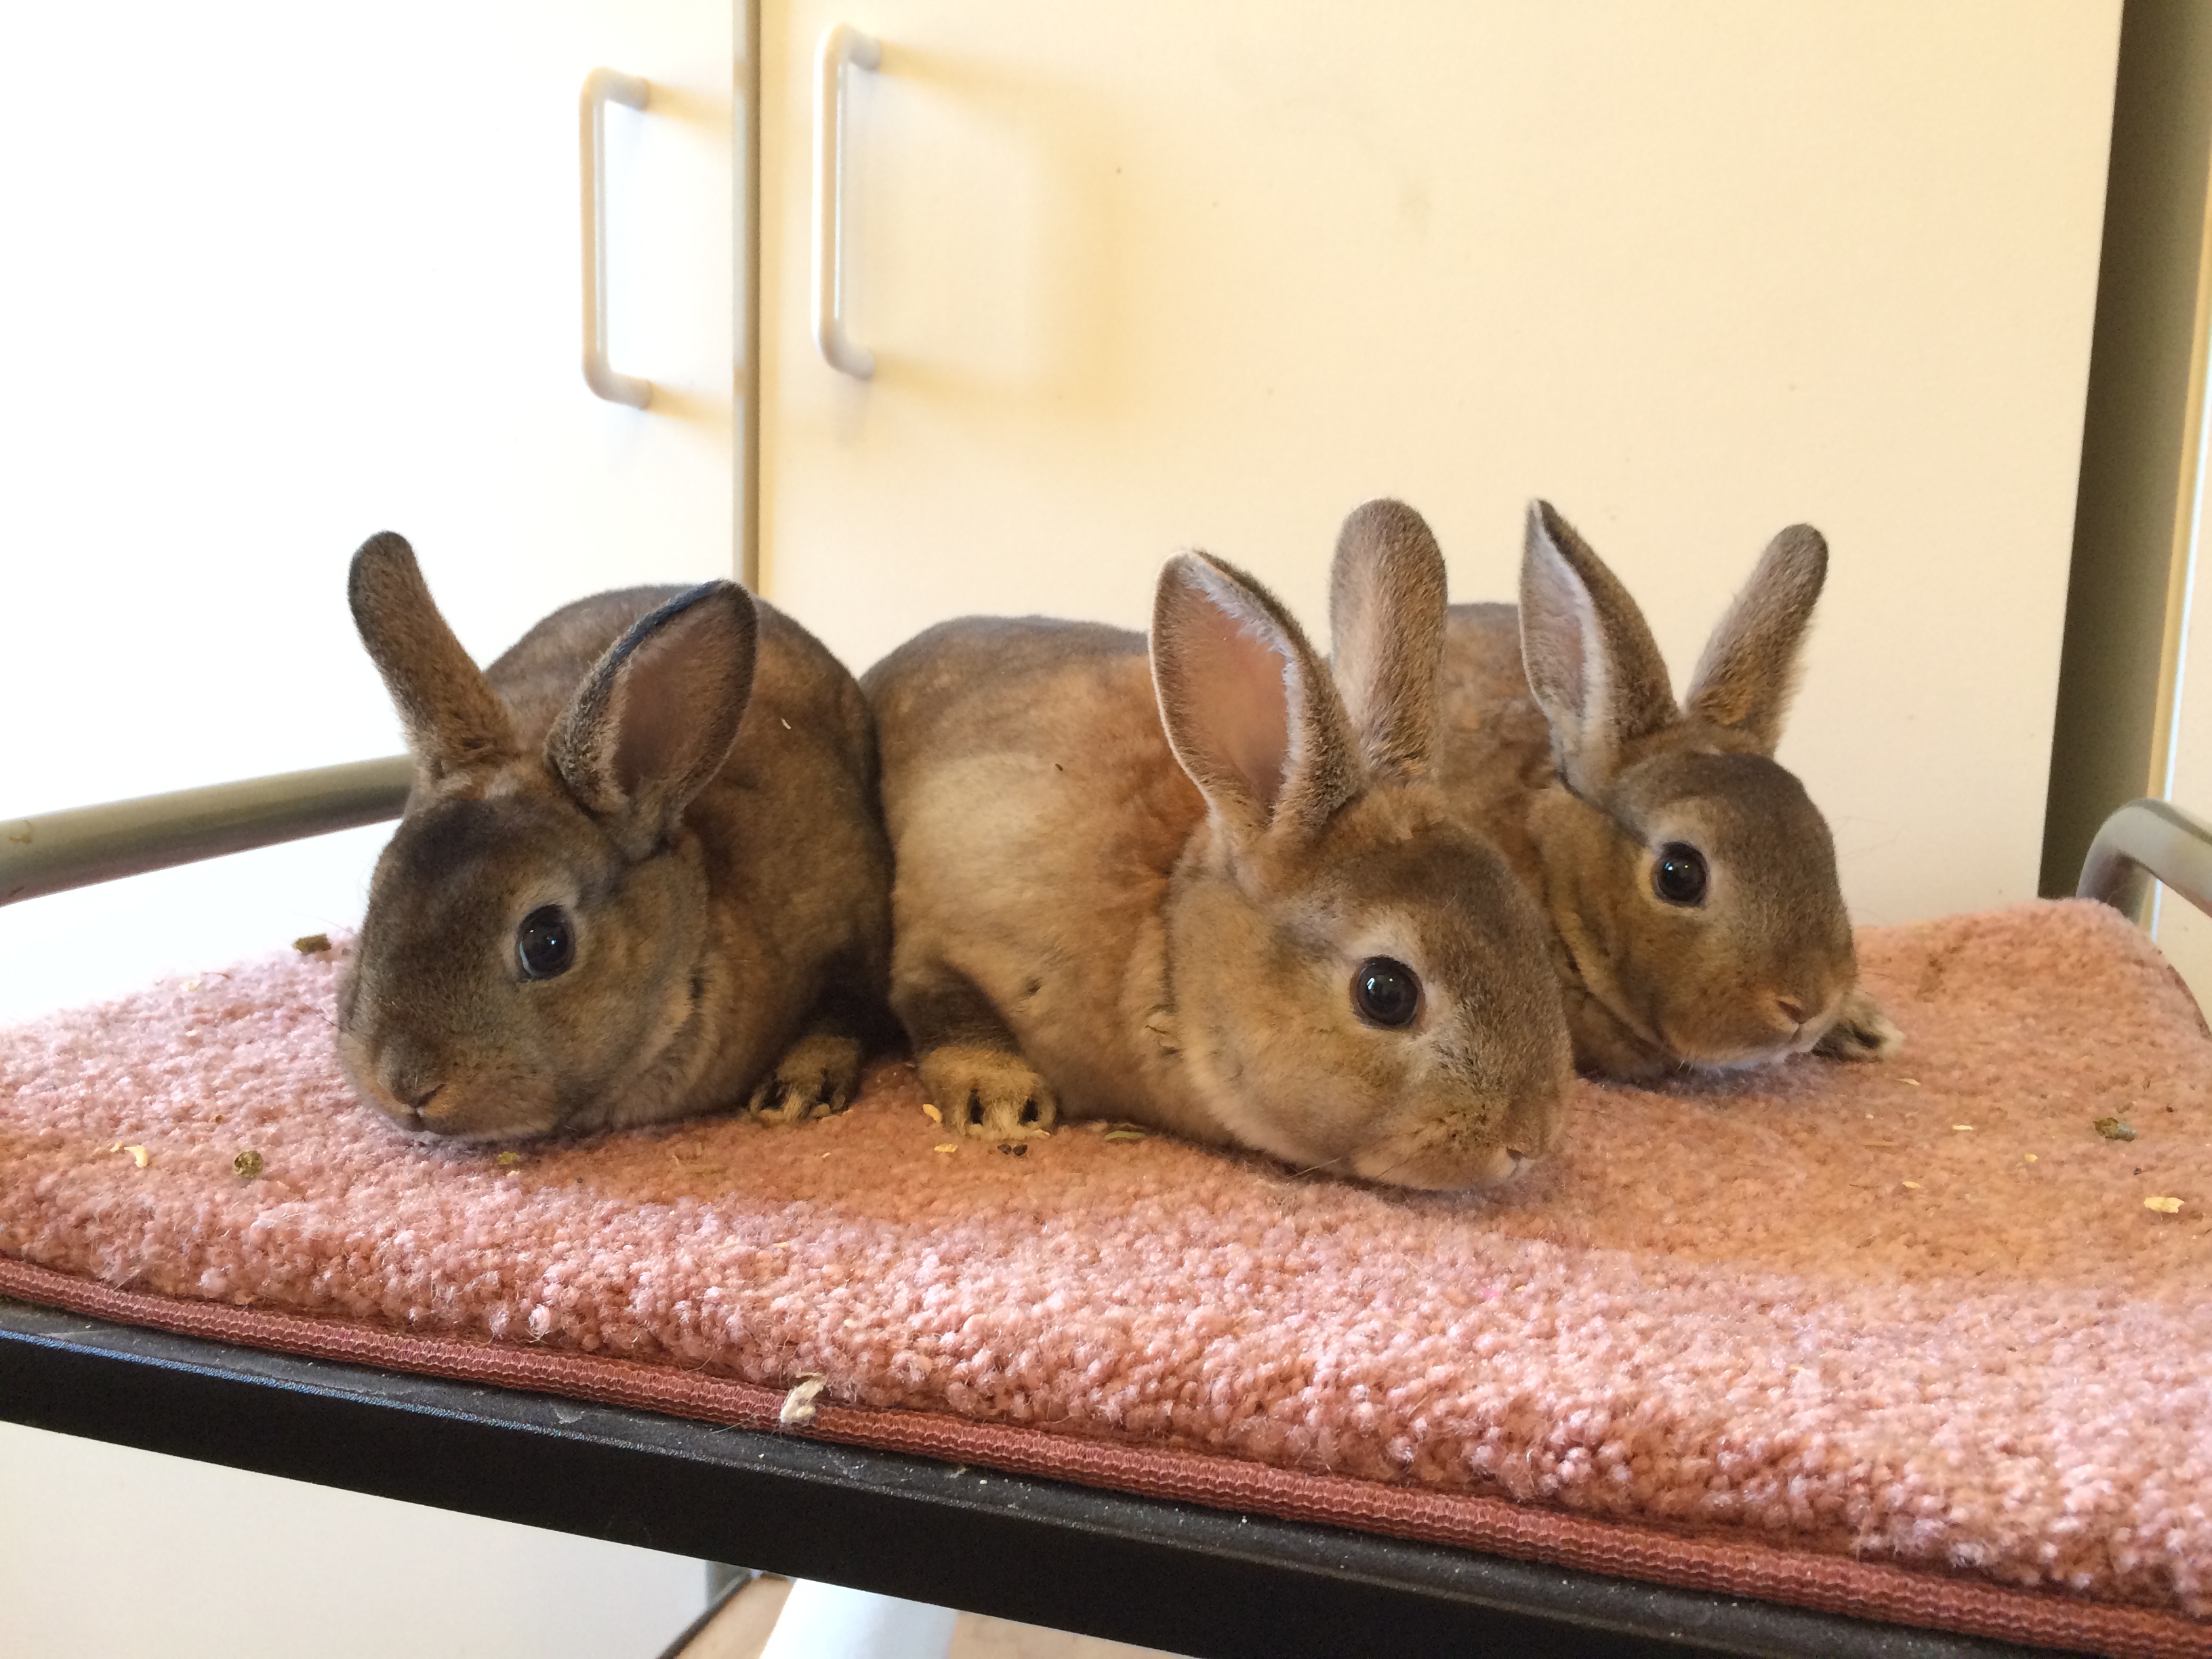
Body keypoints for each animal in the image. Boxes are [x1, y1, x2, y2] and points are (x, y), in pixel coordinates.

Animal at [862, 526, 1574, 1185]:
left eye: (1530, 930)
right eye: (1385, 993)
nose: (1529, 1142)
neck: (1167, 941)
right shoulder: (946, 931)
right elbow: (937, 1000)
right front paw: (1003, 1102)